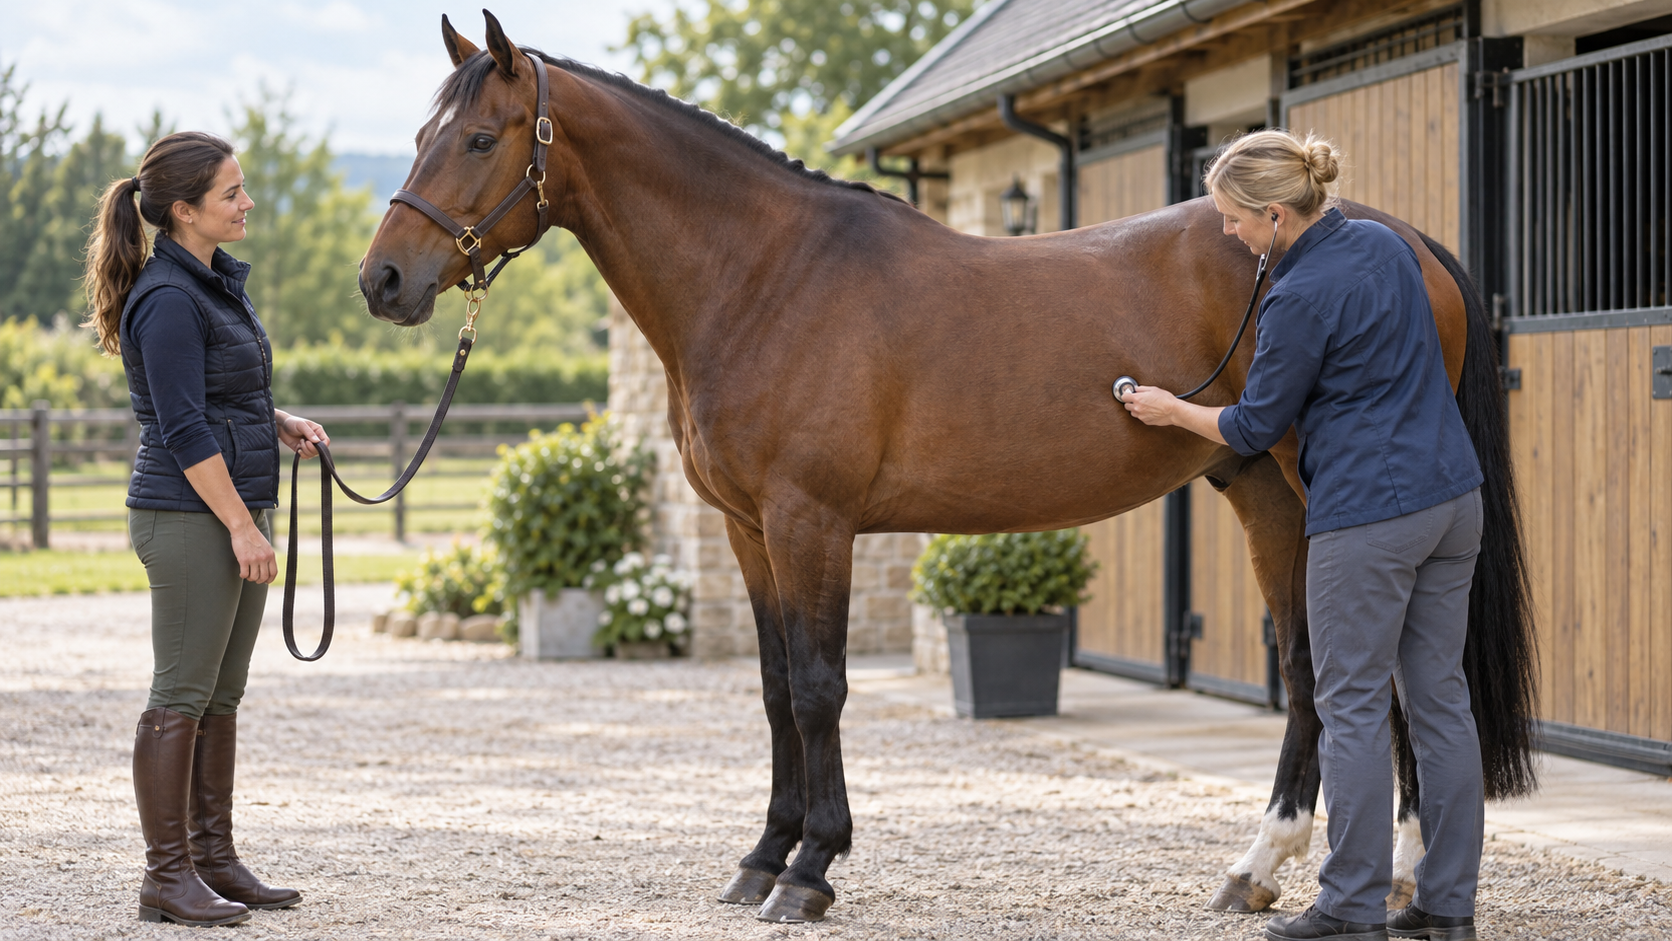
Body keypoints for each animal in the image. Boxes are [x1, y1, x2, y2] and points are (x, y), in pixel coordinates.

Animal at [359, 11, 1537, 924]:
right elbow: (775, 688)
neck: (765, 275)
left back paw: (1385, 880)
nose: (383, 280)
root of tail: (1397, 235)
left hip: (1312, 494)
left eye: (477, 137)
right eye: (416, 133)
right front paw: (760, 858)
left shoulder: (811, 520)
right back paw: (1264, 871)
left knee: (1374, 672)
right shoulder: (747, 528)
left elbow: (821, 686)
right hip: (1262, 493)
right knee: (1308, 669)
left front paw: (812, 869)